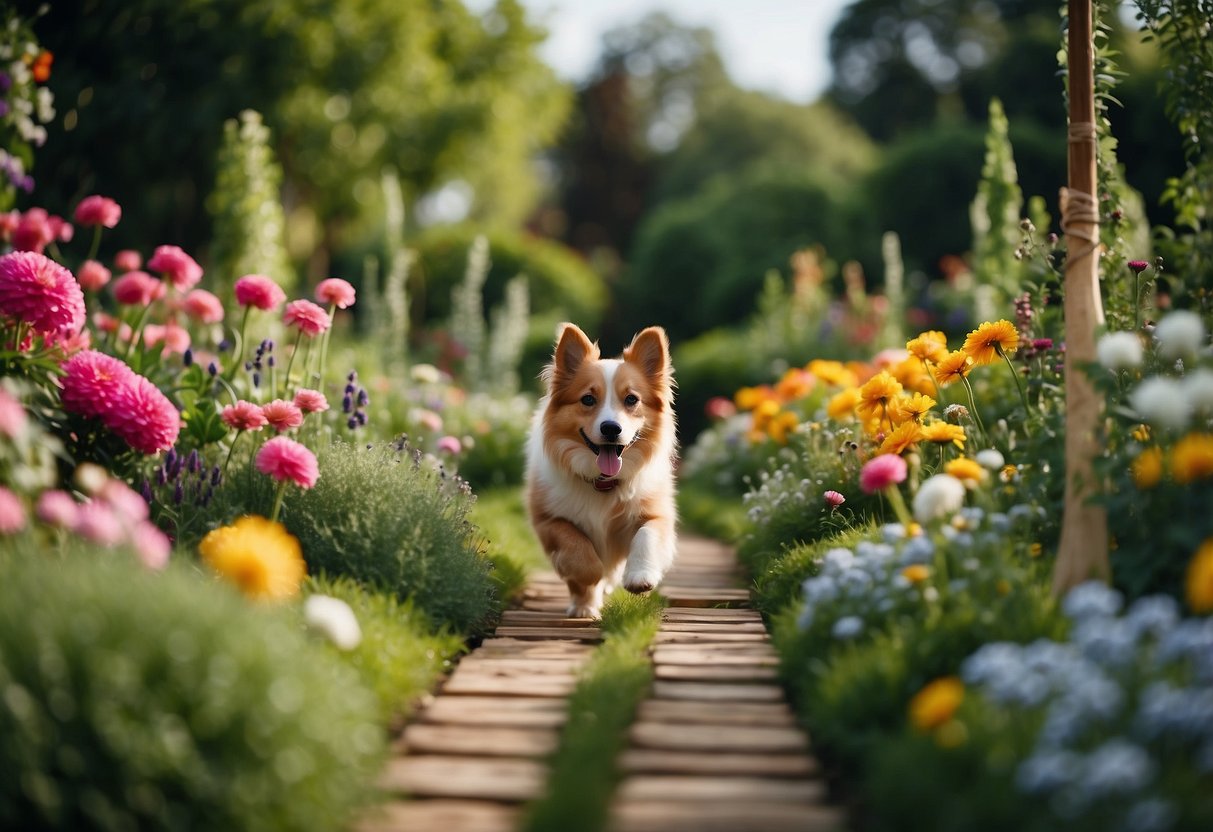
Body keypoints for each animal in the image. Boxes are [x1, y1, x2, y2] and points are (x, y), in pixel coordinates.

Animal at [524, 325, 679, 618]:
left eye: (631, 399)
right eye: (587, 399)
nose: (611, 428)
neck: (603, 481)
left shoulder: (657, 513)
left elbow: (647, 535)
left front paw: (639, 577)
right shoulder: (548, 519)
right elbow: (577, 547)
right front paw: (590, 580)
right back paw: (585, 605)